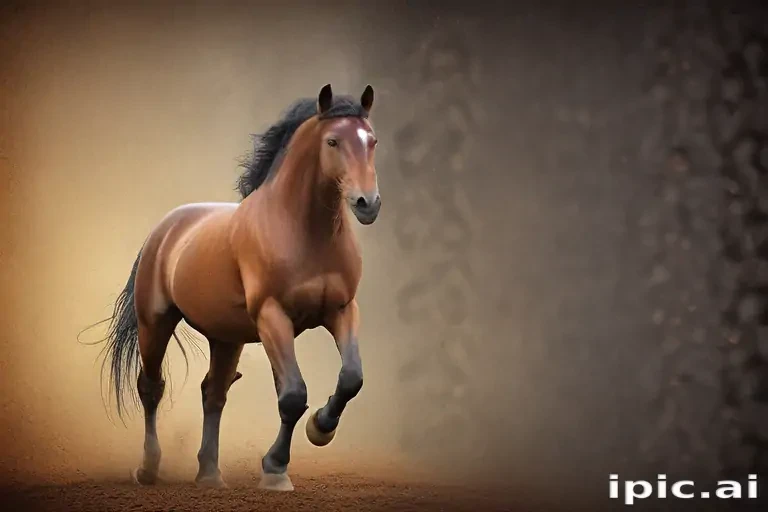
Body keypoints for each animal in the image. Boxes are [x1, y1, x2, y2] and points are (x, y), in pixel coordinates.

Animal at [97, 84, 381, 491]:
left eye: (372, 141)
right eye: (333, 141)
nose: (367, 203)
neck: (303, 231)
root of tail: (165, 229)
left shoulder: (341, 310)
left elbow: (351, 378)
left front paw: (320, 429)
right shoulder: (272, 316)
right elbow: (292, 395)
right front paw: (275, 469)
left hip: (225, 338)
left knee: (213, 394)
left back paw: (210, 475)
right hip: (156, 322)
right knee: (151, 388)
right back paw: (148, 469)